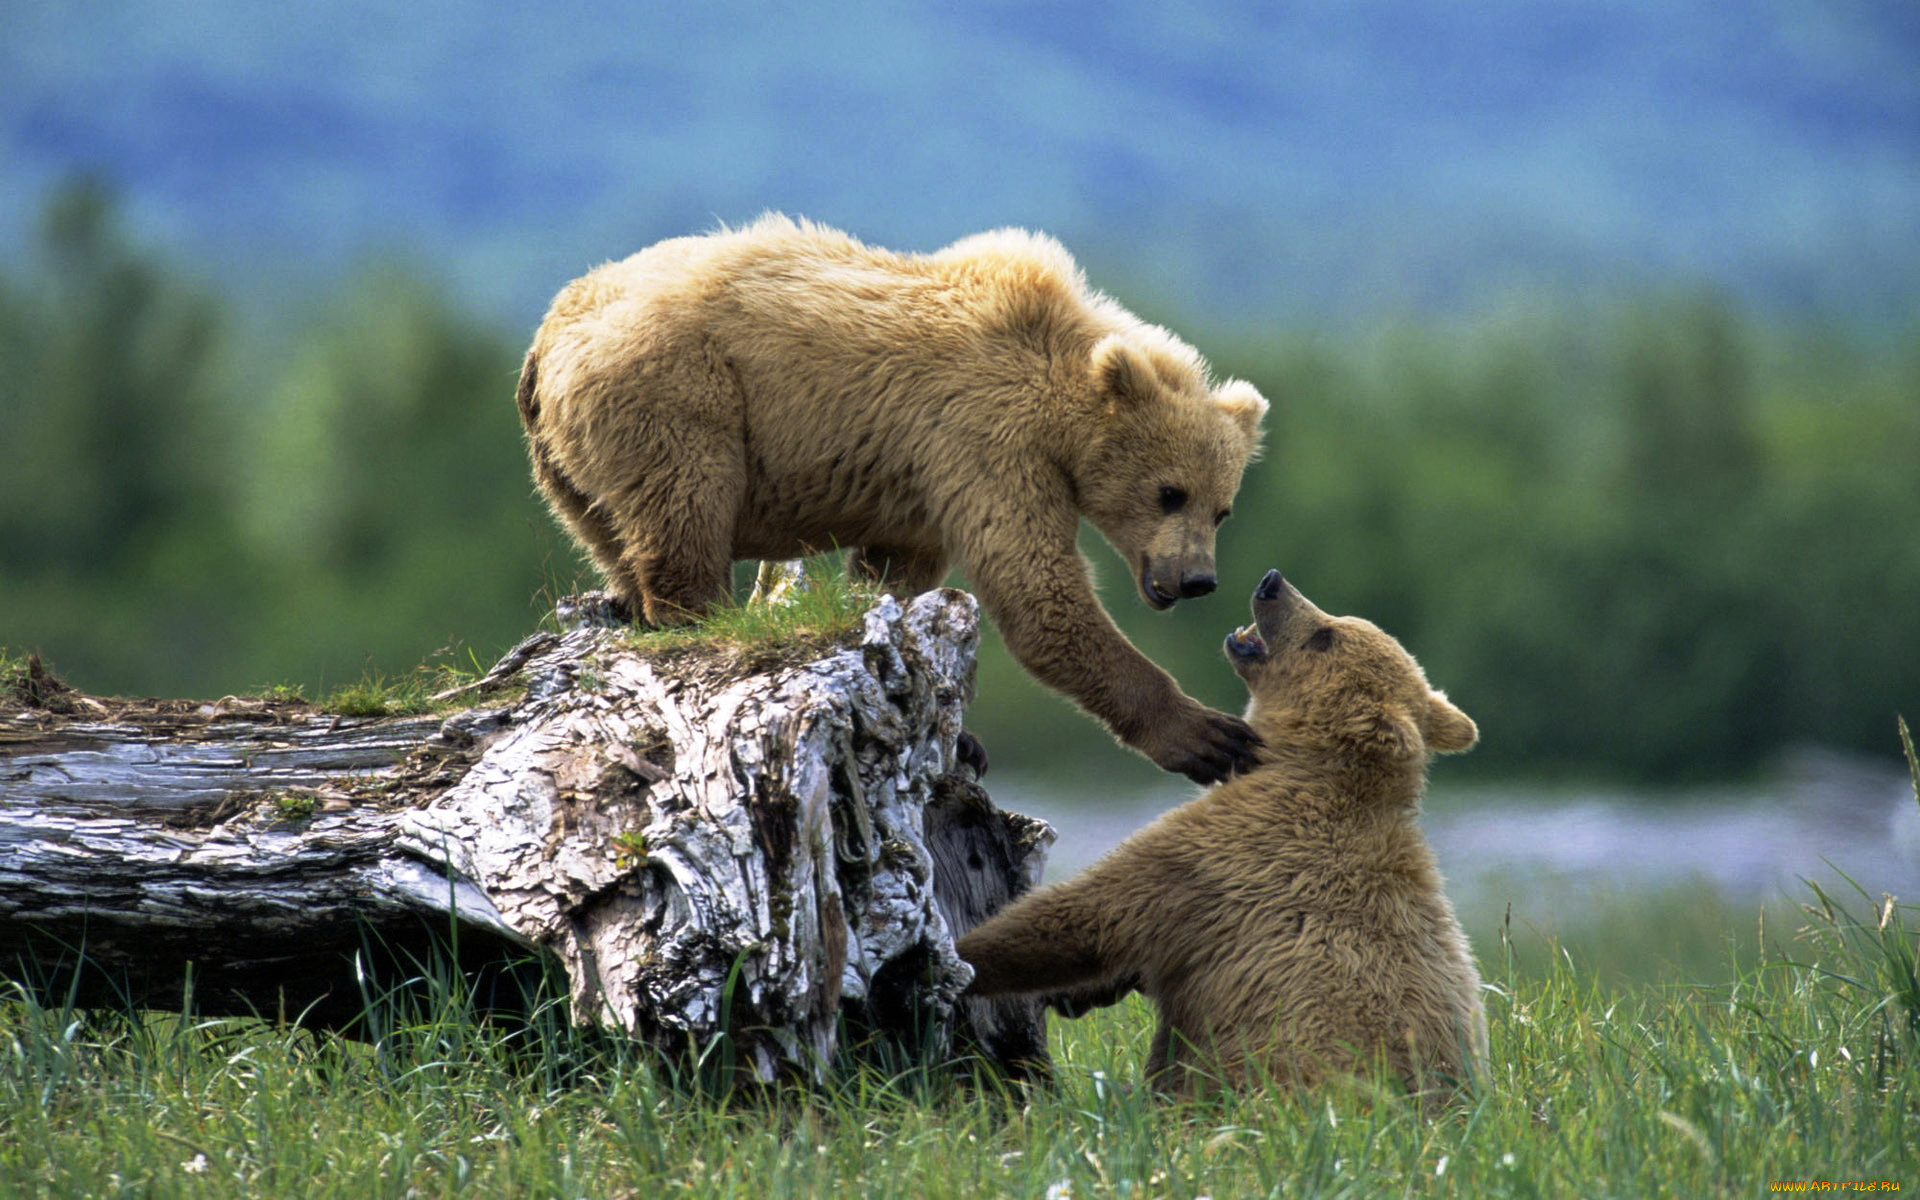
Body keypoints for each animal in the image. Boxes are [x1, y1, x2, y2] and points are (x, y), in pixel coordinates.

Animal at [518, 216, 1267, 783]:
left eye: (1221, 508)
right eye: (1170, 493)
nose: (1197, 579)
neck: (1060, 392)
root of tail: (546, 335)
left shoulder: (924, 482)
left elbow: (898, 574)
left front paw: (959, 731)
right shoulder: (986, 439)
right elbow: (1038, 592)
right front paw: (1210, 735)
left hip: (569, 467)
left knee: (614, 536)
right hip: (674, 390)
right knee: (686, 507)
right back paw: (702, 615)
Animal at [960, 568, 1482, 1098]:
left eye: (1325, 635)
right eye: (1336, 622)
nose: (1273, 583)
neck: (1304, 765)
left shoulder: (1225, 856)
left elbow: (1088, 916)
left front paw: (961, 957)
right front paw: (1080, 992)